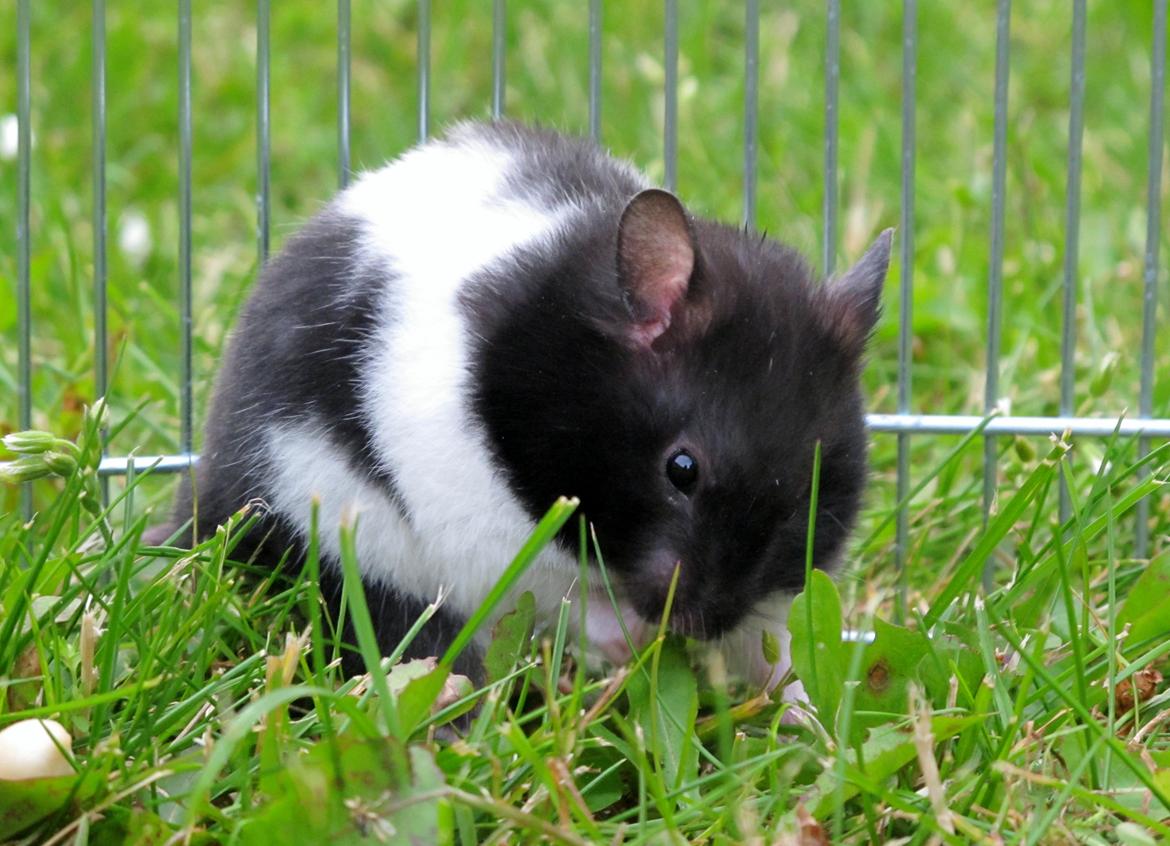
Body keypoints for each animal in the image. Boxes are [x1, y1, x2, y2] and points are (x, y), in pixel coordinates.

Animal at [158, 121, 889, 690]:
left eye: (811, 489)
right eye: (681, 469)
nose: (696, 624)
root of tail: (206, 497)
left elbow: (774, 644)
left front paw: (803, 713)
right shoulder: (484, 526)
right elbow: (561, 596)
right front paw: (631, 639)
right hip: (350, 540)